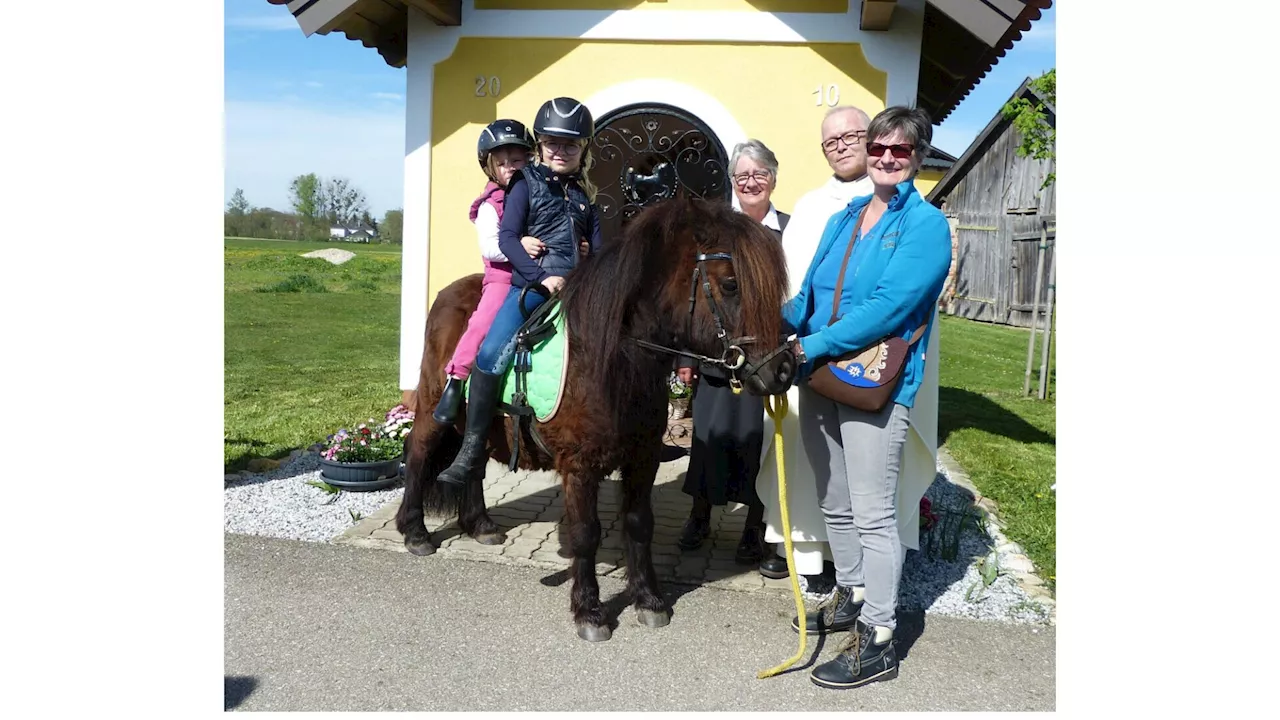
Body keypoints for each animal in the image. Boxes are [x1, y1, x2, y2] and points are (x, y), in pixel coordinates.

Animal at [394, 194, 793, 638]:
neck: (610, 356)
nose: (782, 369)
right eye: (730, 284)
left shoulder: (643, 460)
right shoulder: (580, 466)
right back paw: (415, 532)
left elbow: (639, 523)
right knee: (418, 453)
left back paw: (480, 524)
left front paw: (649, 599)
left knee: (474, 460)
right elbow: (586, 534)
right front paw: (589, 611)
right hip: (434, 408)